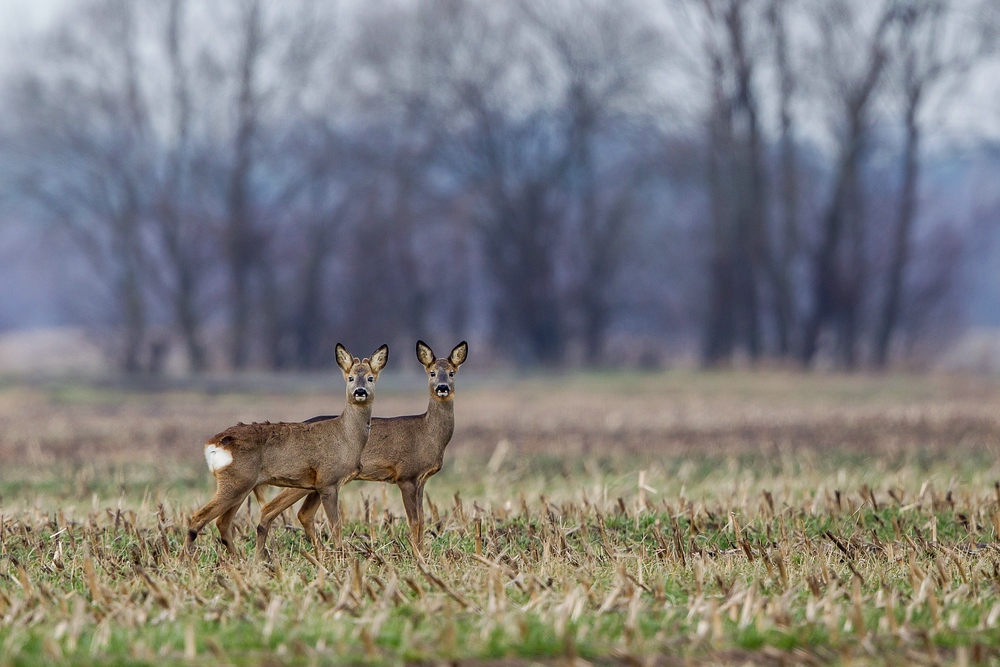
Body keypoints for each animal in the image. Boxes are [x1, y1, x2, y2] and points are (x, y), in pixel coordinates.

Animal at [186, 344, 388, 560]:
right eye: (350, 377)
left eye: (370, 378)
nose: (360, 391)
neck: (346, 437)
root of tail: (212, 444)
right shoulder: (329, 480)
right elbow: (336, 526)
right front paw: (341, 558)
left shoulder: (318, 484)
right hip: (235, 482)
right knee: (198, 518)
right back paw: (187, 559)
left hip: (241, 486)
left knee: (222, 523)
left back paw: (242, 560)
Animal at [262, 340, 472, 552]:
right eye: (432, 373)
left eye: (452, 372)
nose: (442, 387)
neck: (427, 434)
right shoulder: (406, 475)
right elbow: (413, 521)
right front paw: (417, 554)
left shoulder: (421, 479)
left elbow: (421, 520)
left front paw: (421, 552)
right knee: (272, 508)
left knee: (302, 513)